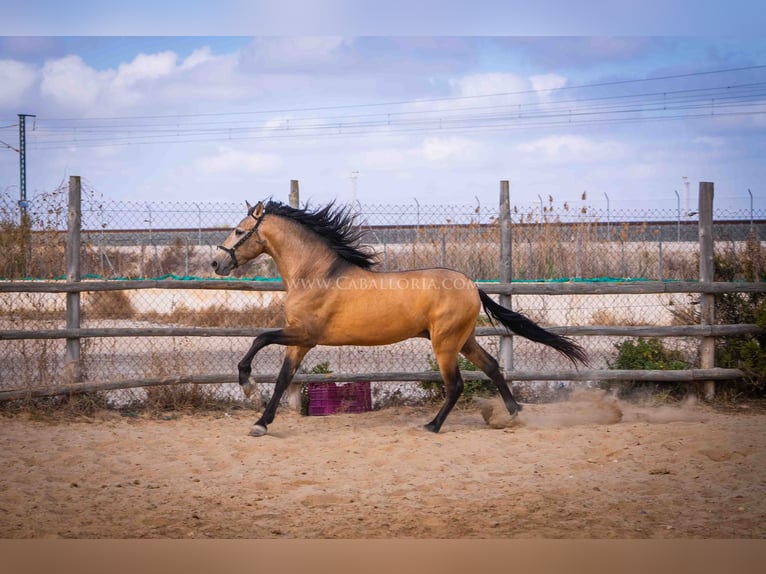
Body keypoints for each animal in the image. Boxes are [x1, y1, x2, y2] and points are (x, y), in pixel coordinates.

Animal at [210, 200, 588, 438]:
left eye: (238, 230)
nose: (216, 263)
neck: (316, 275)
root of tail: (471, 284)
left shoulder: (303, 335)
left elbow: (259, 339)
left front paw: (247, 384)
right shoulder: (298, 342)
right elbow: (282, 380)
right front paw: (261, 422)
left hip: (444, 344)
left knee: (456, 384)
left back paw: (433, 426)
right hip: (463, 339)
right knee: (493, 367)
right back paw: (513, 414)